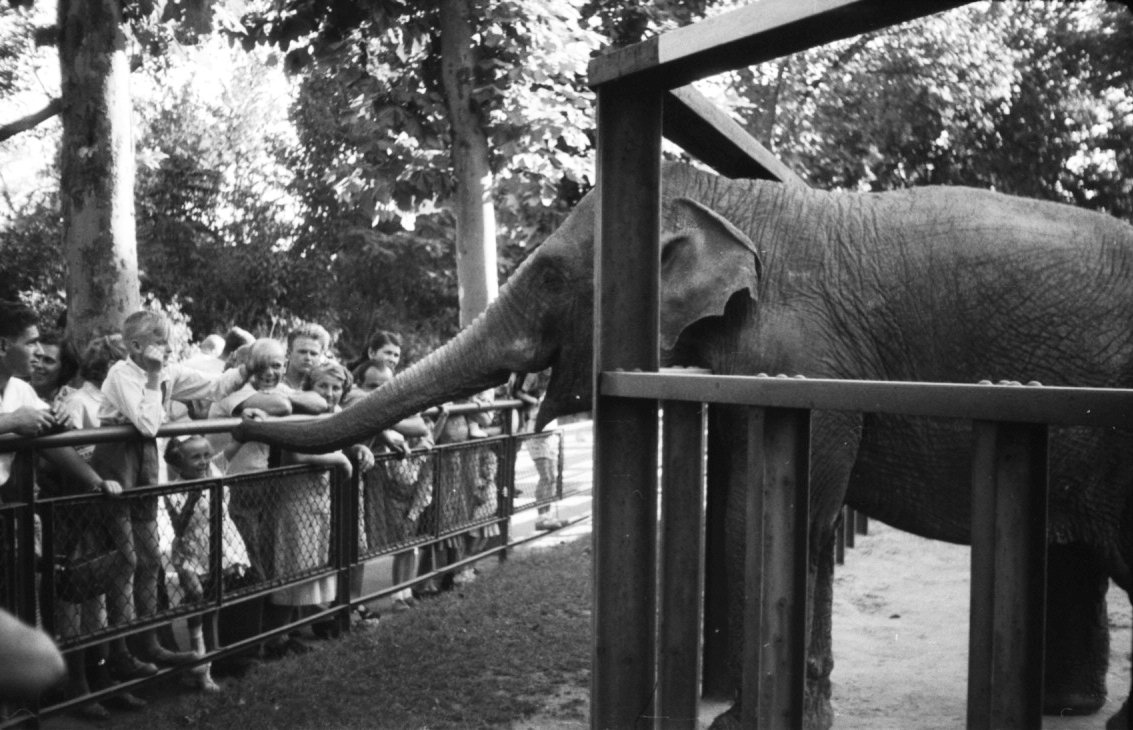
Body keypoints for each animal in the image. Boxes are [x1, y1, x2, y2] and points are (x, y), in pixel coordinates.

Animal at [239, 162, 1133, 725]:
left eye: (551, 275)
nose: (249, 410)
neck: (728, 196)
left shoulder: (804, 350)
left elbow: (769, 517)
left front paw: (744, 721)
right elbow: (778, 511)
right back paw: (1068, 709)